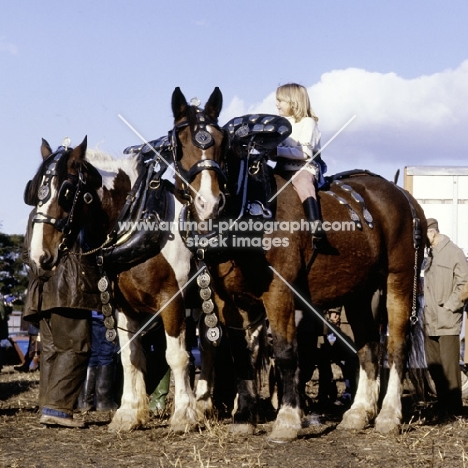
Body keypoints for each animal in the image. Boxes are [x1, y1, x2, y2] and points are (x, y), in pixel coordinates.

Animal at [24, 135, 199, 432]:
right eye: (35, 192)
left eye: (66, 192)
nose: (39, 256)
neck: (138, 217)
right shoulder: (124, 308)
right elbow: (130, 357)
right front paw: (128, 414)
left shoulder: (172, 300)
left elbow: (176, 356)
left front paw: (183, 416)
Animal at [169, 88, 428, 442]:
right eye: (179, 141)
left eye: (221, 142)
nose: (209, 202)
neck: (252, 209)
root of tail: (405, 198)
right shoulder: (227, 300)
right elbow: (241, 355)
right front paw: (244, 417)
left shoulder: (279, 292)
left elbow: (286, 351)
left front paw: (288, 420)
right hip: (359, 295)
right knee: (367, 347)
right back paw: (359, 413)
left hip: (399, 281)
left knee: (396, 344)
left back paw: (389, 415)